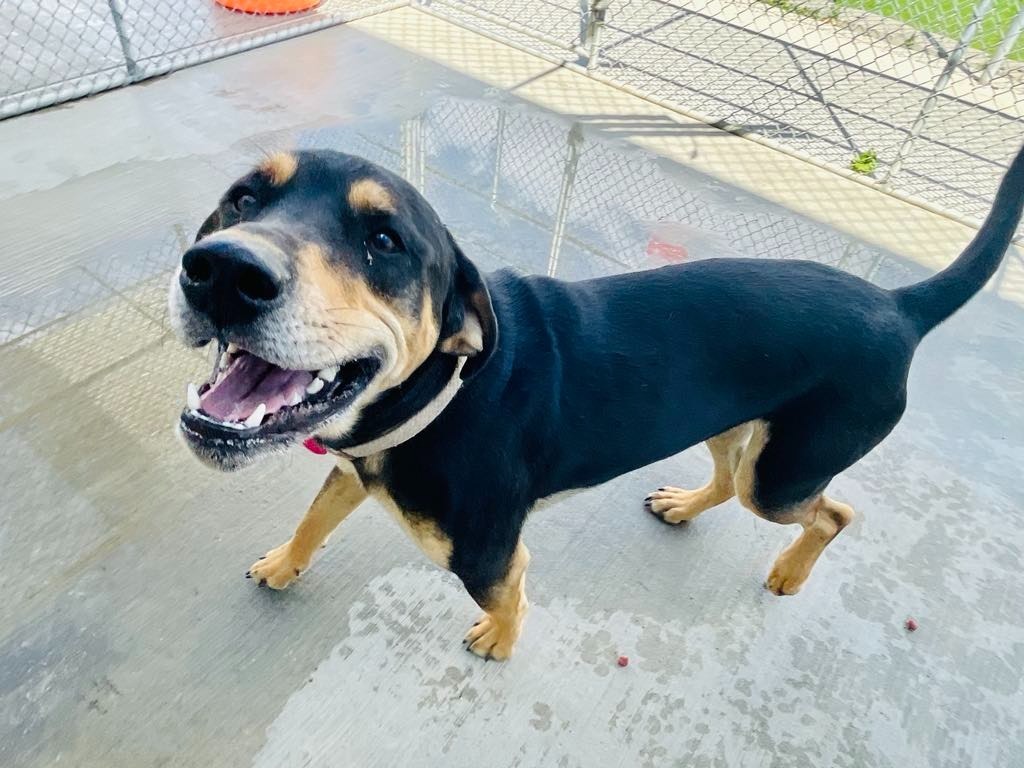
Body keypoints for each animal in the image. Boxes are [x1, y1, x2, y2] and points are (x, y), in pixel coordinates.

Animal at [169, 145, 1024, 663]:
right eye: (244, 198)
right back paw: (684, 505)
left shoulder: (488, 554)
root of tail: (900, 304)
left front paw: (501, 641)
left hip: (781, 477)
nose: (221, 271)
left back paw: (789, 573)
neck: (441, 393)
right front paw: (284, 564)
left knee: (833, 513)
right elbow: (314, 517)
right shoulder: (354, 464)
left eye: (385, 241)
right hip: (730, 426)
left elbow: (512, 593)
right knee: (727, 479)